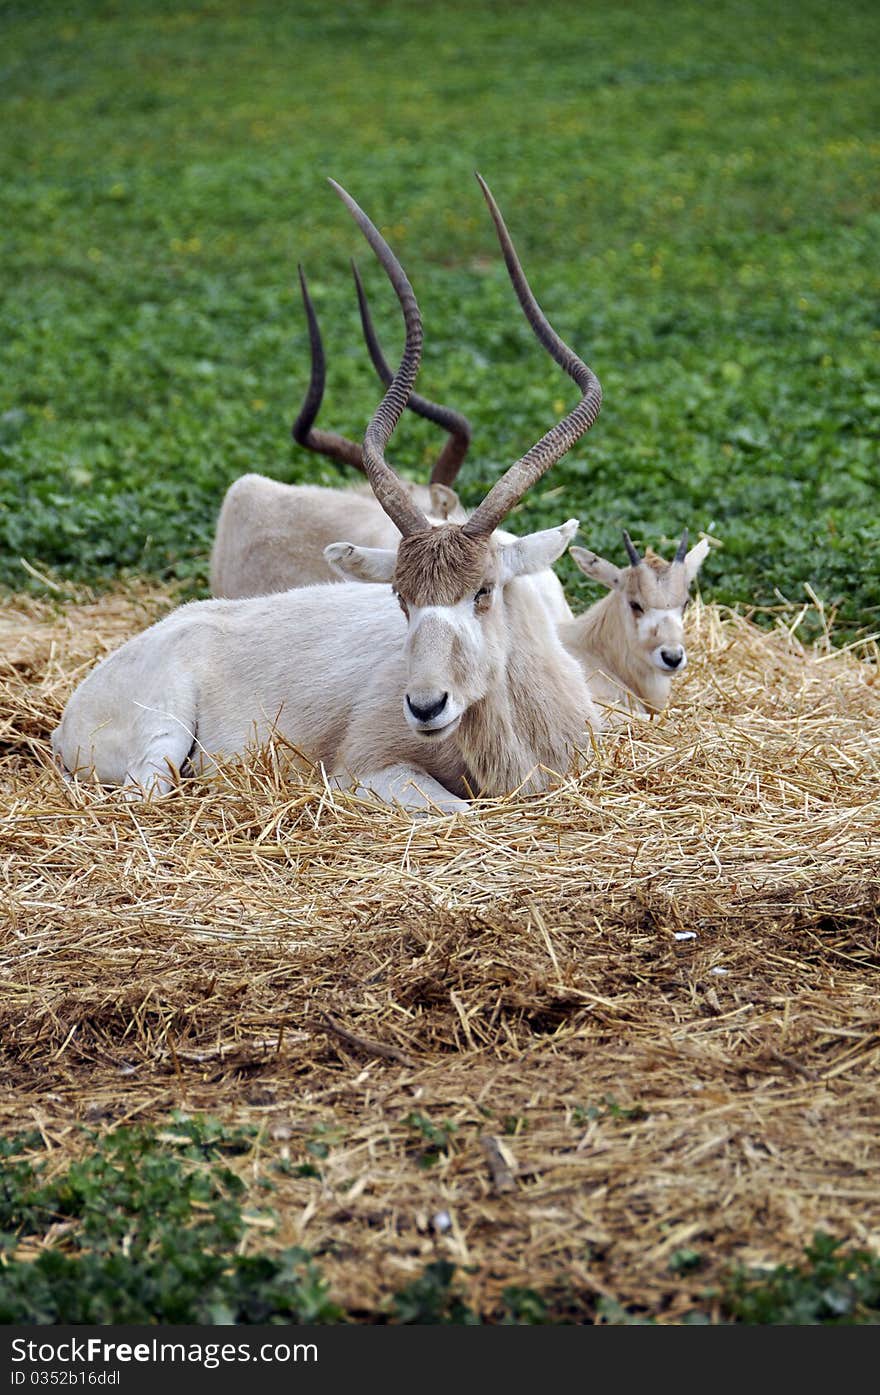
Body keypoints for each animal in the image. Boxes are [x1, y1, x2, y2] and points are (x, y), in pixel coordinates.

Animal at [56, 170, 605, 814]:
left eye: (484, 591)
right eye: (401, 598)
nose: (426, 706)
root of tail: (73, 708)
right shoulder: (362, 772)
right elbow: (460, 811)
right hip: (162, 735)